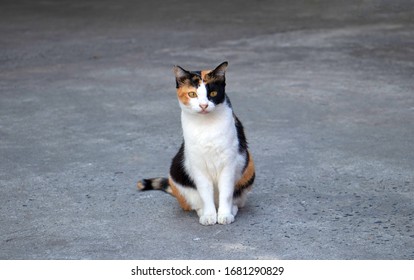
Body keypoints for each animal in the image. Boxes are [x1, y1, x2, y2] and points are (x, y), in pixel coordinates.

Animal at [138, 61, 256, 225]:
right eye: (192, 94)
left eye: (212, 94)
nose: (203, 105)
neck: (206, 126)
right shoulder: (198, 165)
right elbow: (205, 193)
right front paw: (209, 216)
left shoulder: (228, 164)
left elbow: (226, 193)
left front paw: (224, 215)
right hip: (177, 174)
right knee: (195, 203)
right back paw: (203, 212)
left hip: (248, 167)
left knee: (237, 200)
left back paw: (230, 210)